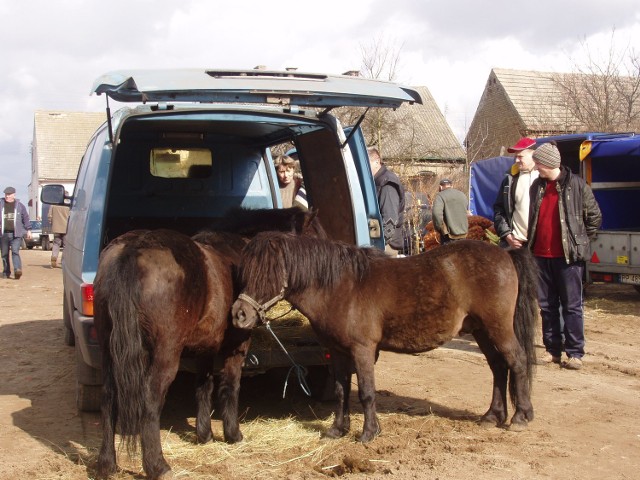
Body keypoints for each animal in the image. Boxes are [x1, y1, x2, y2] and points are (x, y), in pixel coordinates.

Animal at [95, 207, 324, 480]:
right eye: (315, 240)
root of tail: (134, 248)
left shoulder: (204, 348)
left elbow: (203, 386)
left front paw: (204, 434)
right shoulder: (237, 346)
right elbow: (230, 386)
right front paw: (233, 434)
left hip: (109, 351)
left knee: (108, 396)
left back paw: (106, 464)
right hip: (164, 355)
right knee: (150, 400)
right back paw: (157, 465)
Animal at [232, 232, 536, 442]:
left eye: (269, 271)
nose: (239, 314)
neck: (342, 287)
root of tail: (506, 255)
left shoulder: (362, 349)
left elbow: (367, 392)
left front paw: (368, 433)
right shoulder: (338, 353)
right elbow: (342, 391)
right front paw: (337, 430)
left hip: (498, 327)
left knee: (517, 362)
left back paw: (520, 417)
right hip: (482, 331)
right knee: (498, 368)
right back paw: (492, 416)